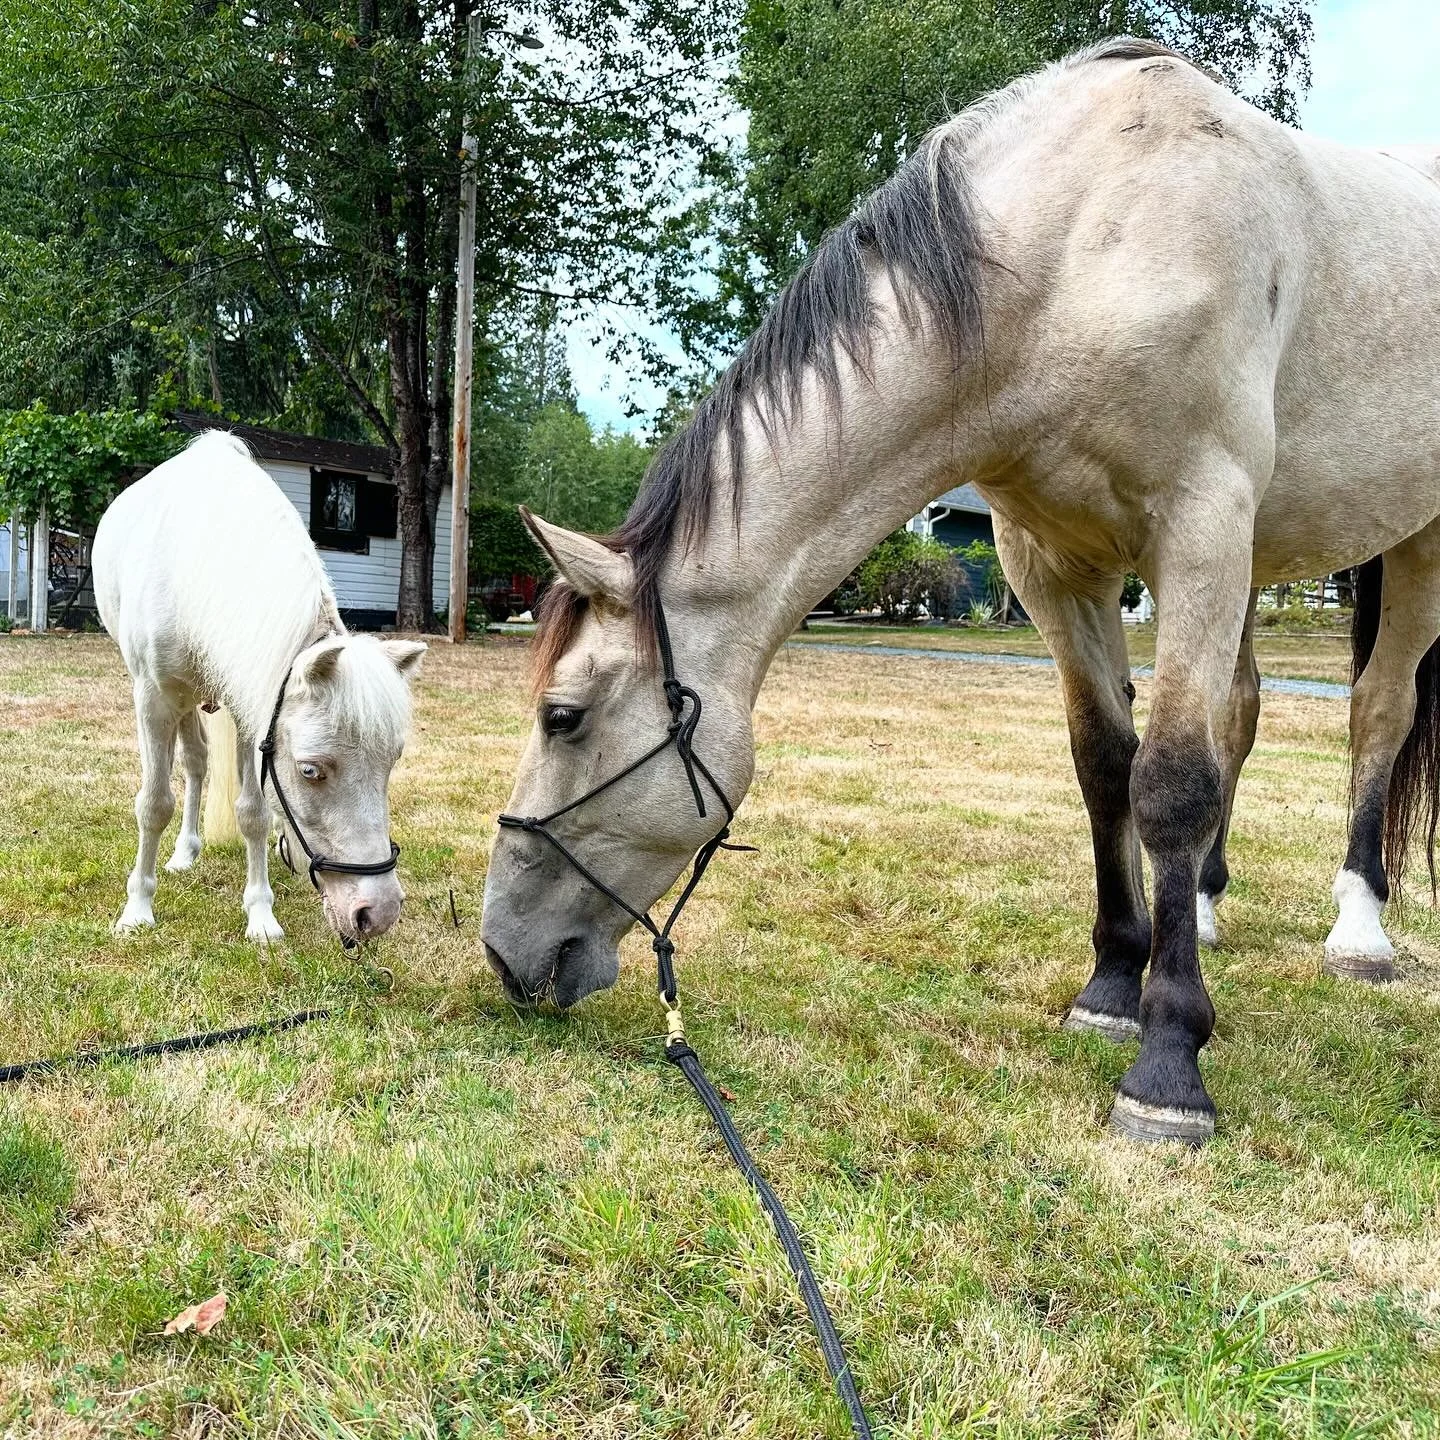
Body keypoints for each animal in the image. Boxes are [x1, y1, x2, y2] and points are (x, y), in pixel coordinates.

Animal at [93, 431, 426, 946]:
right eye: (309, 771)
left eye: (392, 763)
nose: (379, 911)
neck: (196, 563)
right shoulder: (153, 699)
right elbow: (153, 804)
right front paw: (137, 910)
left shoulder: (253, 709)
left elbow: (253, 812)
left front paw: (261, 916)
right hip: (177, 699)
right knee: (193, 762)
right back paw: (182, 854)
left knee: (199, 763)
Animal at [482, 38, 1440, 1144]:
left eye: (562, 717)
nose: (502, 947)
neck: (1077, 250)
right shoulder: (1056, 565)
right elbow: (1107, 767)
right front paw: (1113, 985)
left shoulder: (1202, 527)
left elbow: (1170, 783)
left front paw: (1167, 1062)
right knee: (1238, 715)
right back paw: (1197, 909)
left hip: (1410, 547)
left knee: (1376, 713)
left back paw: (1358, 930)